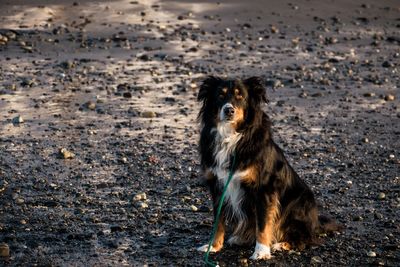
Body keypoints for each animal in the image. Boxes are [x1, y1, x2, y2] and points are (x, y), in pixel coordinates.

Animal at [197, 76, 340, 260]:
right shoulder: (217, 186)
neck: (232, 136)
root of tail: (316, 223)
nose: (229, 110)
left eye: (240, 96)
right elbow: (218, 221)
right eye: (220, 95)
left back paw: (282, 244)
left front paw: (261, 251)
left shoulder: (265, 188)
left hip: (299, 203)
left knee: (306, 238)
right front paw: (213, 246)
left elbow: (263, 223)